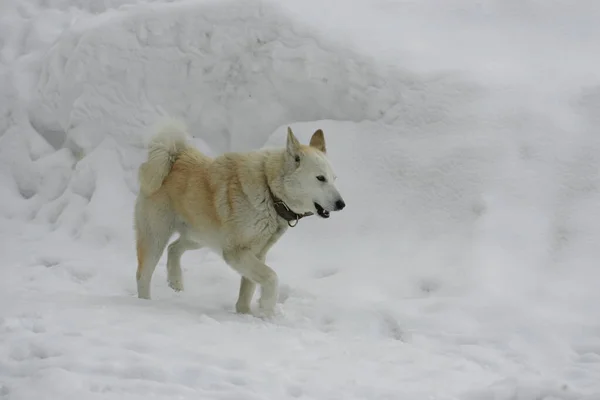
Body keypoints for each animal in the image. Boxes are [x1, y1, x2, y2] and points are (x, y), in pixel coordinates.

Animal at [134, 120, 344, 318]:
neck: (270, 193)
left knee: (174, 248)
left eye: (334, 178)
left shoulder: (257, 253)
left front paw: (245, 314)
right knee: (143, 274)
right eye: (320, 178)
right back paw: (145, 303)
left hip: (201, 238)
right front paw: (267, 309)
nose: (342, 204)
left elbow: (248, 289)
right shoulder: (235, 253)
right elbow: (271, 277)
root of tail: (173, 156)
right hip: (156, 238)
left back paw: (176, 282)